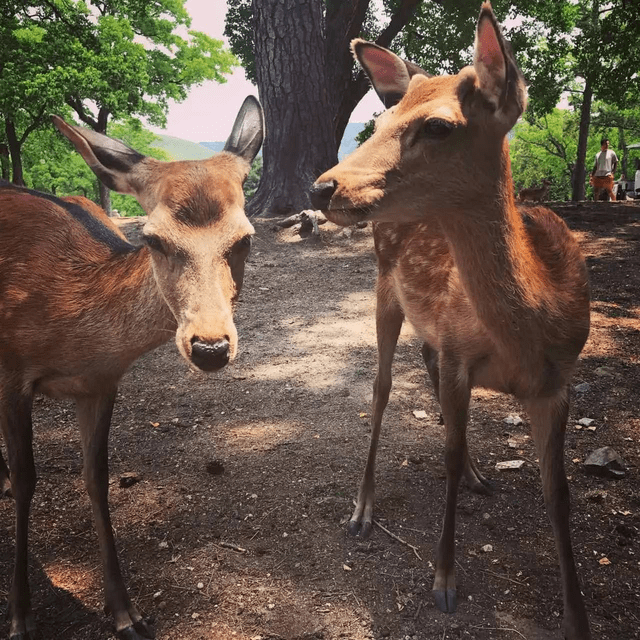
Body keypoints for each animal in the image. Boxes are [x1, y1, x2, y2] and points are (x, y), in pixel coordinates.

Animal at [0, 96, 264, 640]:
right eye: (154, 240)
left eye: (245, 239)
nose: (210, 346)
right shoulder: (12, 374)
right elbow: (29, 478)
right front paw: (19, 616)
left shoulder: (100, 385)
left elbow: (97, 478)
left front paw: (125, 612)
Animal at [310, 5, 592, 640]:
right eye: (383, 118)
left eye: (439, 126)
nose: (323, 186)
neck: (527, 335)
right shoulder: (463, 357)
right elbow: (448, 454)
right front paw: (443, 580)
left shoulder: (558, 383)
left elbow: (559, 493)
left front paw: (577, 616)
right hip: (384, 290)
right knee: (383, 387)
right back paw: (362, 509)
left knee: (427, 366)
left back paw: (480, 476)